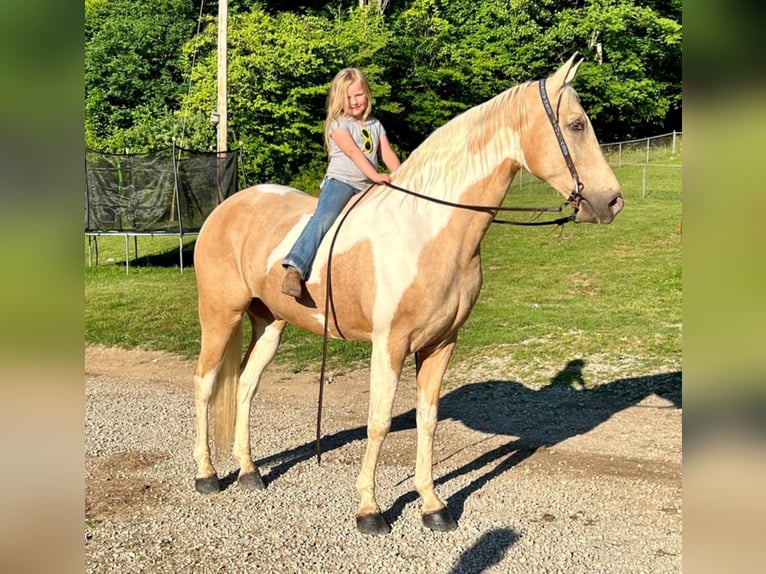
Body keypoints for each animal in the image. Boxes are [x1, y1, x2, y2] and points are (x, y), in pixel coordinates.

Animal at [190, 54, 624, 536]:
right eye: (576, 125)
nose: (612, 201)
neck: (427, 229)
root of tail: (225, 209)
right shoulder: (389, 345)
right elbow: (378, 423)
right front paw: (370, 509)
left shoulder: (441, 344)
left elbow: (427, 421)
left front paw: (433, 505)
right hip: (220, 316)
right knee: (205, 384)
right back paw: (207, 475)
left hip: (270, 323)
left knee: (246, 385)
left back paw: (249, 471)